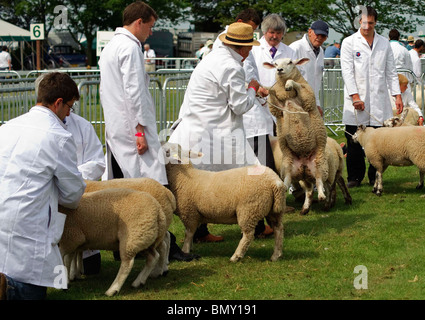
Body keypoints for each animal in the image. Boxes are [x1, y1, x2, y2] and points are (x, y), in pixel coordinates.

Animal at [264, 58, 328, 210]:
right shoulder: (277, 108)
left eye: (290, 62)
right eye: (275, 64)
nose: (279, 70)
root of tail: (304, 168)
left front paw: (289, 84)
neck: (288, 98)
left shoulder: (308, 97)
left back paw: (321, 195)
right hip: (287, 164)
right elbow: (272, 92)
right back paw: (282, 187)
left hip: (320, 163)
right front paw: (264, 88)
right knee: (287, 181)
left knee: (319, 180)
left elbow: (297, 84)